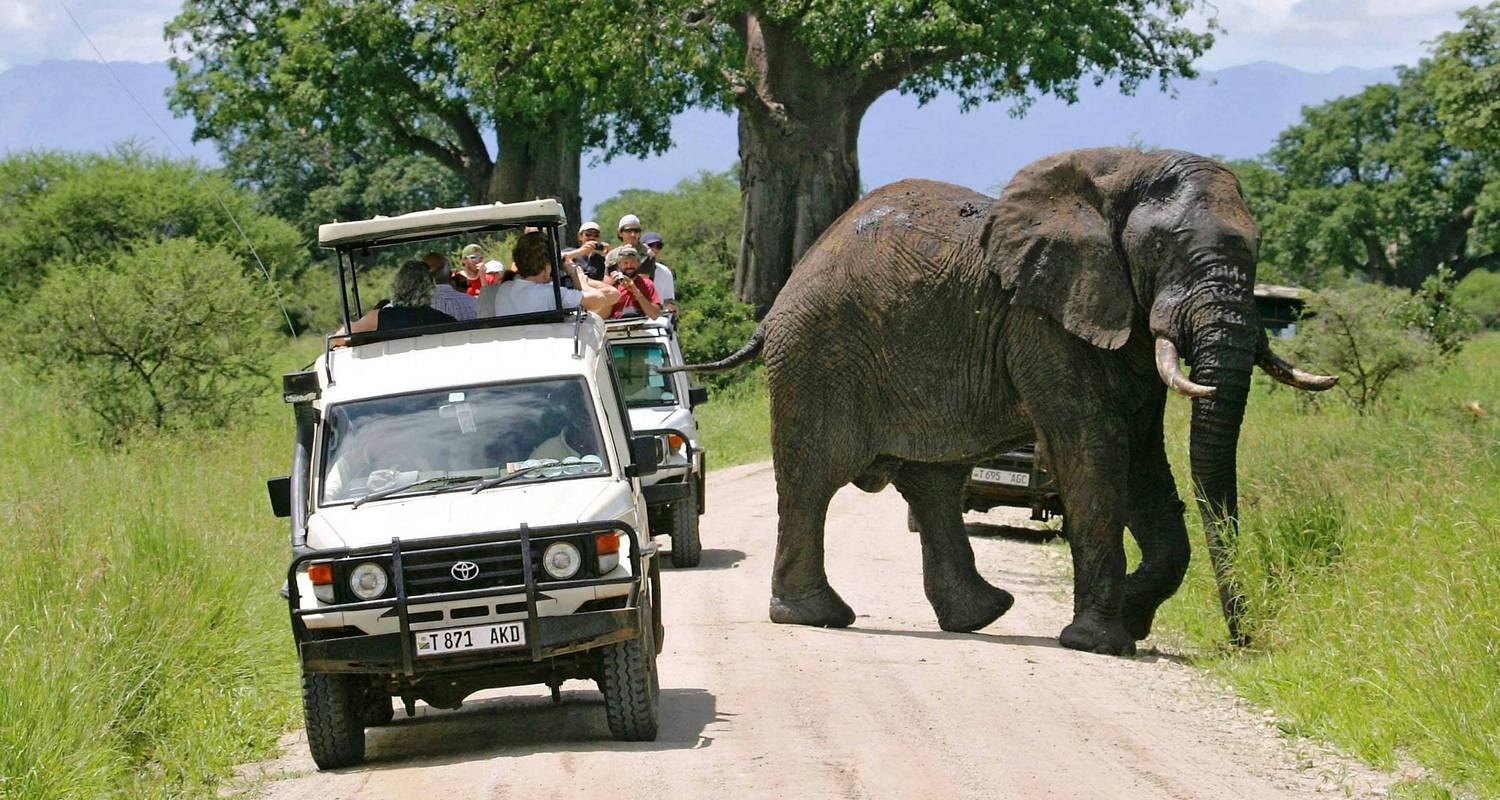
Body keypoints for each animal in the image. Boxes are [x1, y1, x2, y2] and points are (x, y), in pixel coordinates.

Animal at [663, 147, 1332, 654]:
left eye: (1257, 247)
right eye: (1165, 249)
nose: (1242, 642)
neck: (1121, 175)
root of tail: (780, 297)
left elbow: (1142, 458)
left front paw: (1132, 618)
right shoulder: (1041, 320)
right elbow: (1095, 450)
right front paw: (1100, 642)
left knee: (932, 483)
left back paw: (980, 616)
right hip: (816, 355)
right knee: (814, 477)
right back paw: (818, 618)